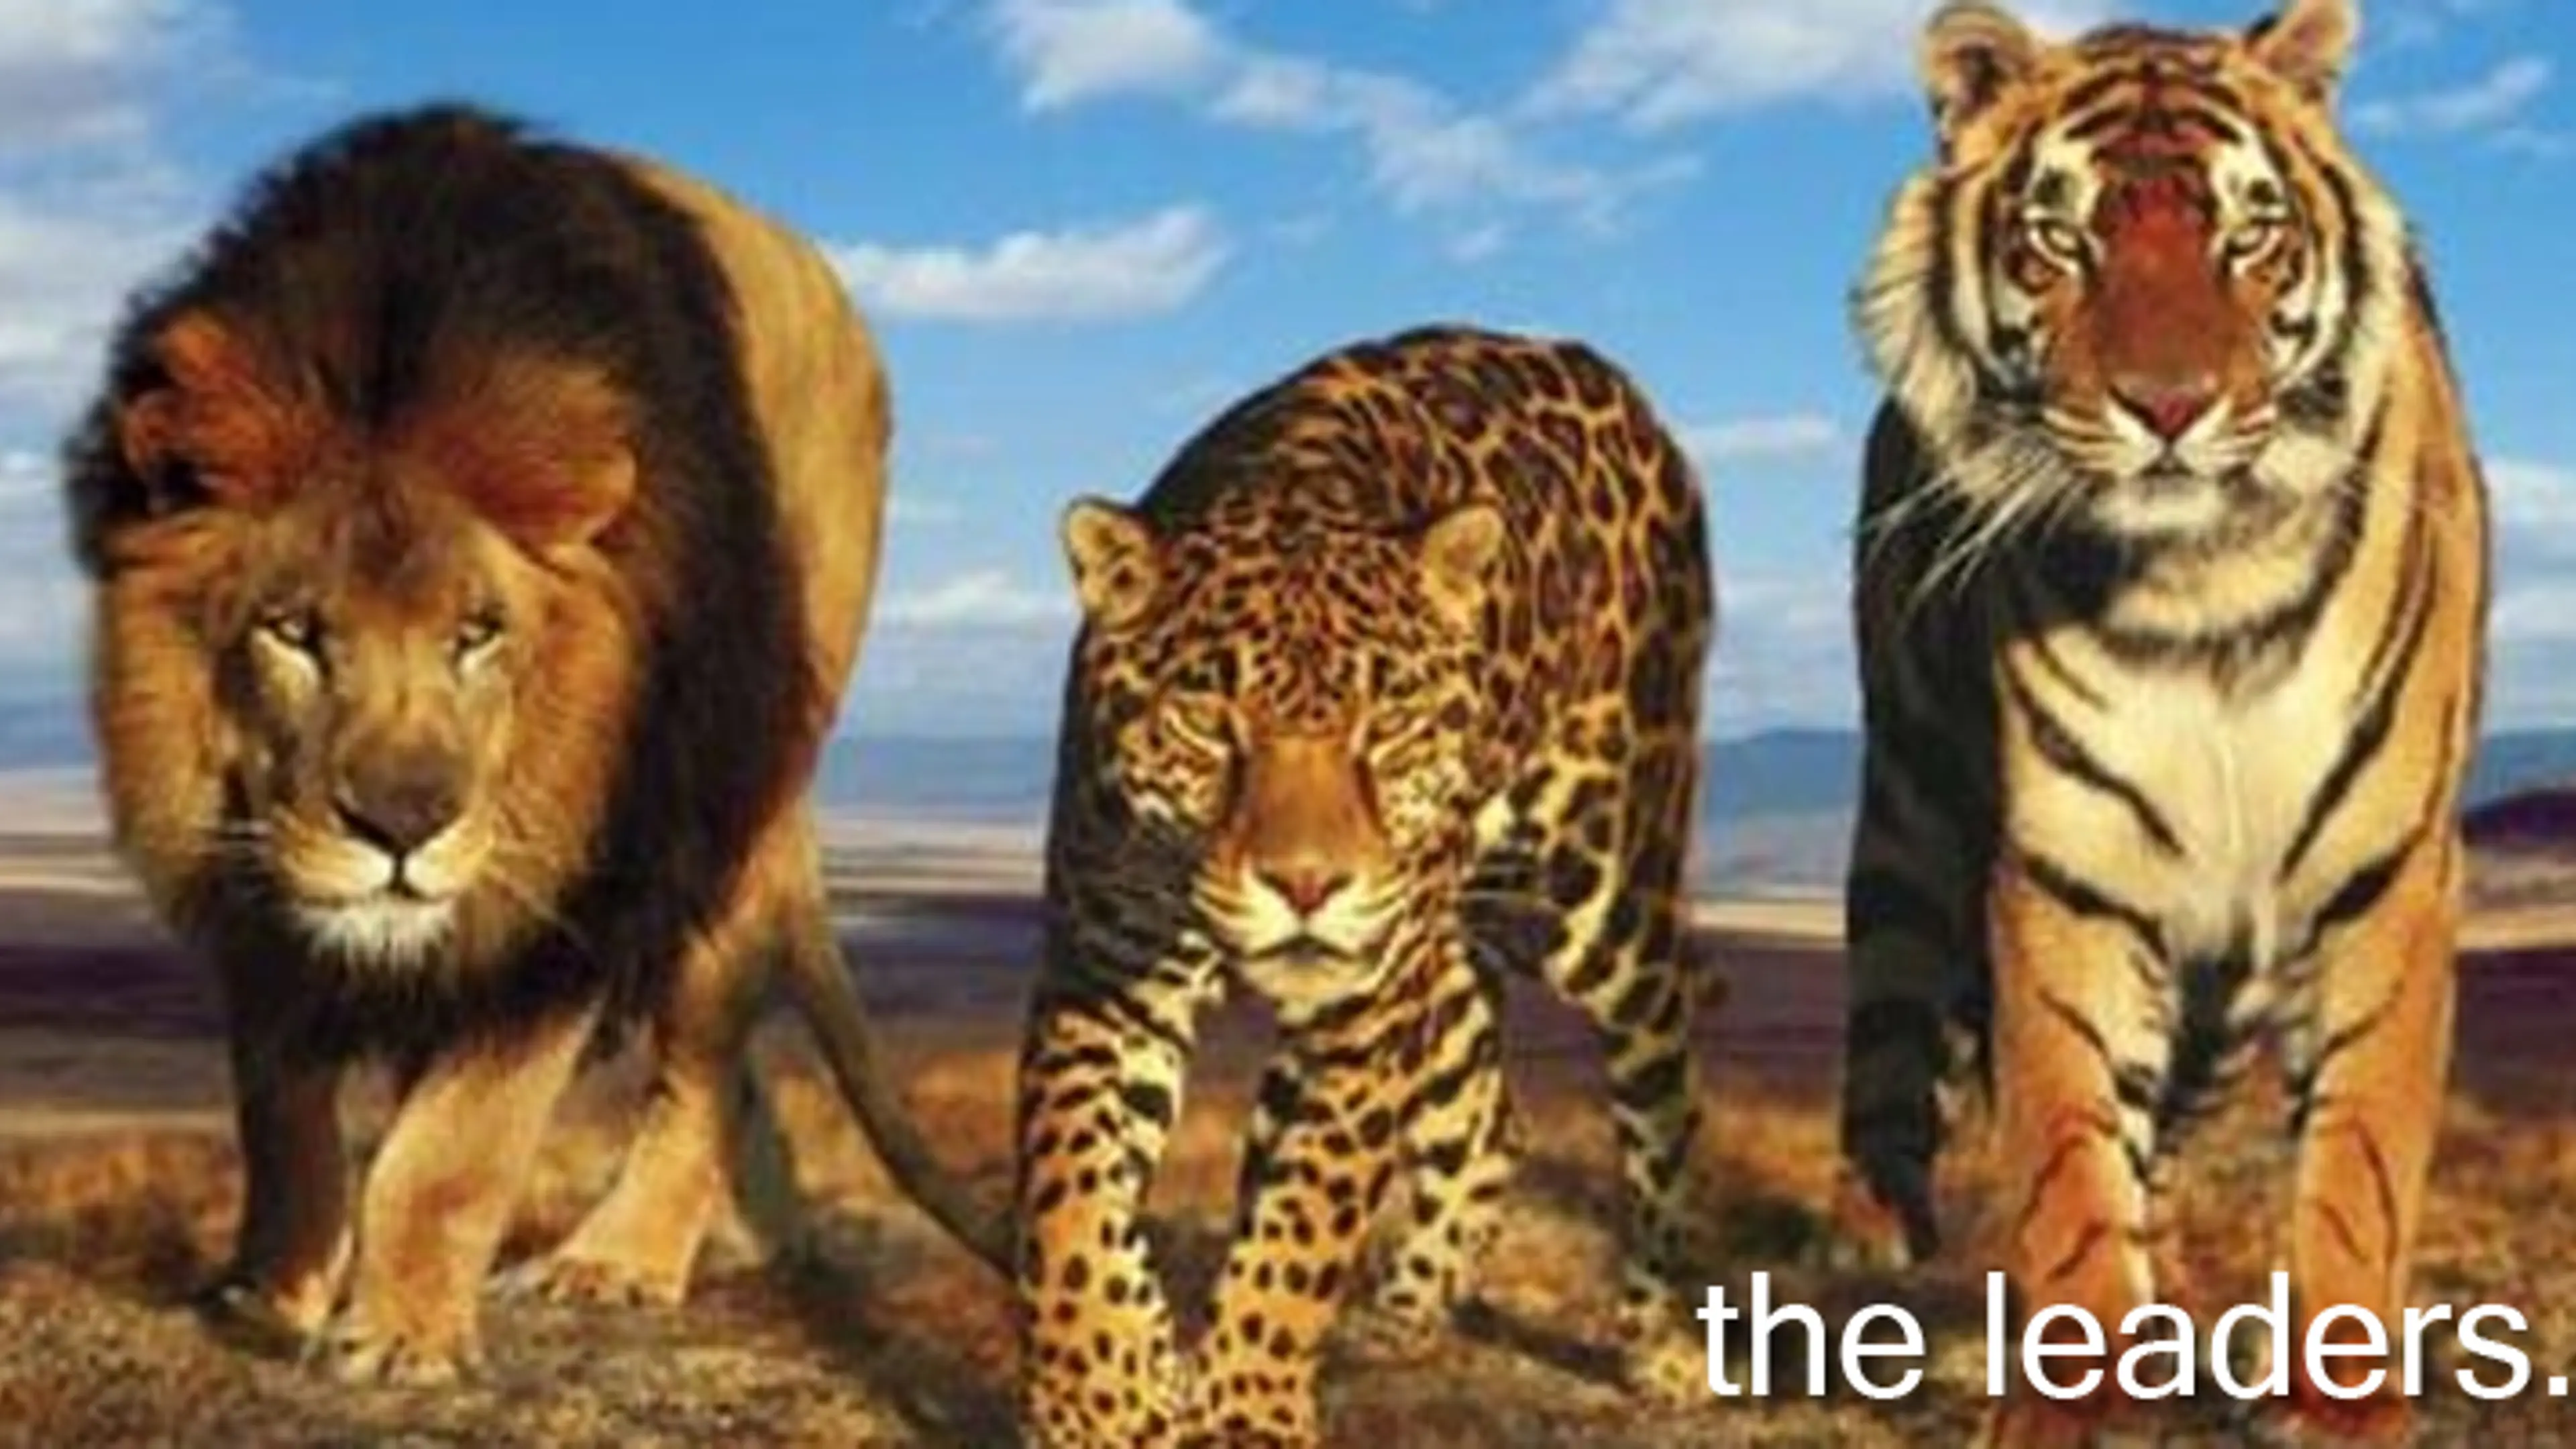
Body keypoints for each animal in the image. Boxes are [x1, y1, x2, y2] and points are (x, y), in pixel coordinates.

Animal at [60, 103, 1008, 1384]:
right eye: (295, 631)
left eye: (478, 635)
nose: (404, 827)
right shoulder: (258, 882)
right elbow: (281, 1115)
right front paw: (273, 1294)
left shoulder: (583, 870)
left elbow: (453, 1149)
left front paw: (403, 1337)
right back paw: (770, 1241)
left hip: (747, 774)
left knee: (701, 1064)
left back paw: (620, 1260)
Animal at [1831, 0, 2489, 1441]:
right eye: (2060, 239)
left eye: (2249, 235)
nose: (2173, 405)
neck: (2206, 588)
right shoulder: (2068, 872)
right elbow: (2073, 1152)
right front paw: (2068, 1400)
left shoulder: (2386, 872)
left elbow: (2357, 1152)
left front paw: (2337, 1402)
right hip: (1910, 813)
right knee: (1892, 1042)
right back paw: (1863, 1259)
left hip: (2227, 983)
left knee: (2175, 1141)